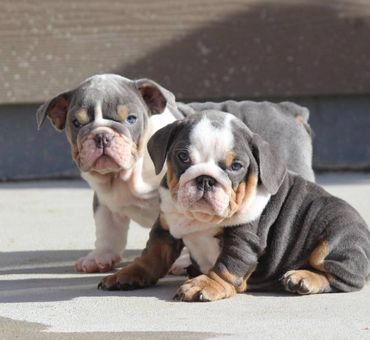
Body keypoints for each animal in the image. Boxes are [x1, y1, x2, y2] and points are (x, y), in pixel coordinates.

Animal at [36, 74, 314, 274]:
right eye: (77, 123)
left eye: (131, 119)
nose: (102, 135)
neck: (126, 176)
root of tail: (288, 109)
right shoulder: (105, 201)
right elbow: (107, 230)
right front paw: (101, 257)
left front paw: (182, 261)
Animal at [98, 109, 370, 302]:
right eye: (183, 157)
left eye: (236, 166)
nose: (205, 179)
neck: (201, 219)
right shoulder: (164, 229)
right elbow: (152, 256)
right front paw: (128, 274)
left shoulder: (243, 239)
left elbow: (227, 266)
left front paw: (205, 284)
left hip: (334, 236)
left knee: (343, 278)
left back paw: (304, 278)